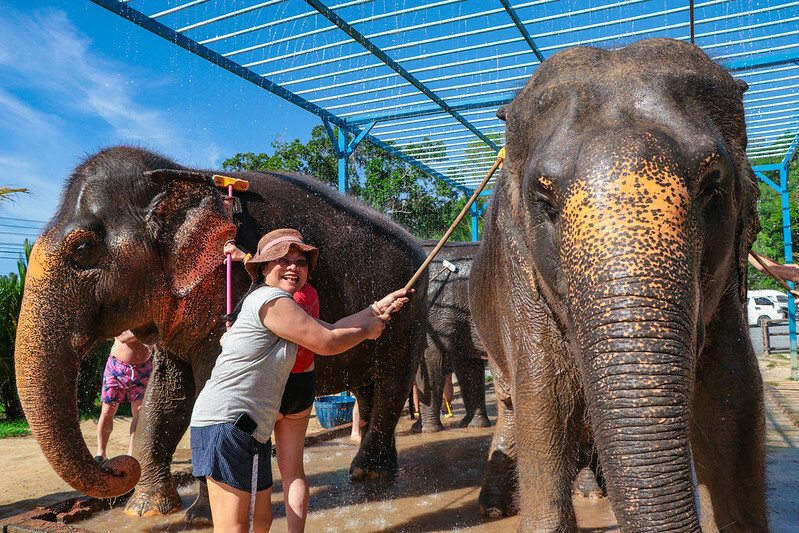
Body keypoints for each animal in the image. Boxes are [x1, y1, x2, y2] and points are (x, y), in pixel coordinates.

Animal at [15, 145, 428, 518]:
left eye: (83, 249)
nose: (117, 466)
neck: (180, 174)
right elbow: (166, 396)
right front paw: (146, 511)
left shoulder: (228, 293)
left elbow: (205, 393)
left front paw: (203, 514)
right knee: (369, 388)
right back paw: (369, 471)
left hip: (412, 319)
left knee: (392, 382)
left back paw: (368, 473)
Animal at [469, 38, 766, 531]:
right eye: (543, 201)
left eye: (712, 186)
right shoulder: (518, 269)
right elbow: (545, 401)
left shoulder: (725, 287)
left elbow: (734, 397)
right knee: (514, 404)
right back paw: (495, 506)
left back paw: (593, 491)